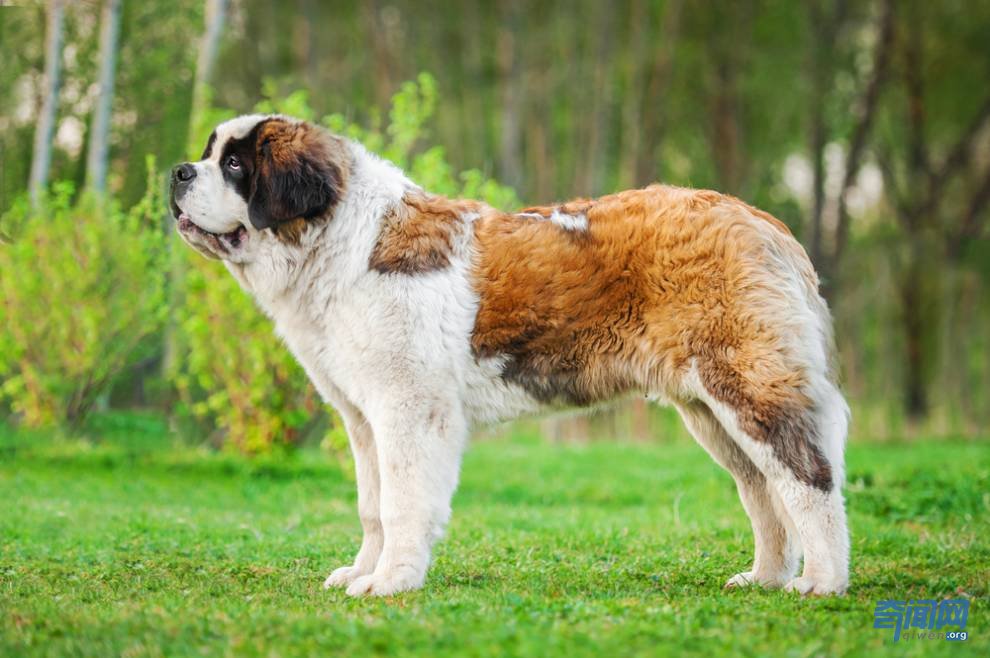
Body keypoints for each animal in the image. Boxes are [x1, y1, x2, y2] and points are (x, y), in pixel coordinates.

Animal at [170, 113, 852, 596]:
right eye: (206, 155)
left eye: (234, 164)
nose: (178, 172)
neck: (341, 242)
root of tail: (760, 220)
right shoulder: (363, 418)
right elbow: (372, 506)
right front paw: (363, 571)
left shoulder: (408, 409)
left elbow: (401, 501)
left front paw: (390, 582)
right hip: (711, 412)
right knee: (762, 490)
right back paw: (764, 578)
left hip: (748, 388)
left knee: (807, 479)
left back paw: (821, 582)